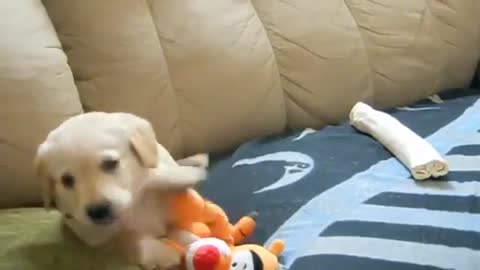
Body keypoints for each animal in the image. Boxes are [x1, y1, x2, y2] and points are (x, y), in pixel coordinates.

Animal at [33, 112, 206, 270]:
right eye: (67, 180)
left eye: (111, 163)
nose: (98, 211)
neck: (135, 206)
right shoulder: (90, 234)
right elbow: (124, 240)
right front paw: (163, 253)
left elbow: (178, 228)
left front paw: (189, 238)